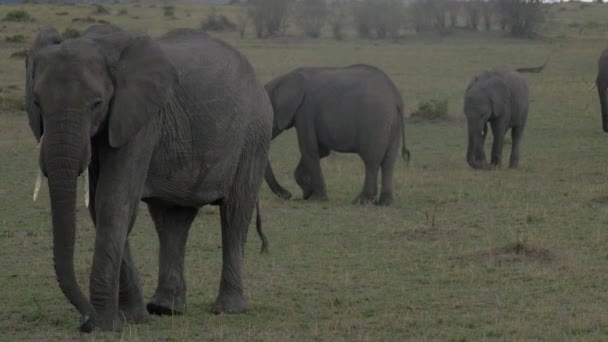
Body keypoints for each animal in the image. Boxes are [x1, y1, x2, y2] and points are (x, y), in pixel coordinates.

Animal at [26, 25, 272, 332]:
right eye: (37, 102)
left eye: (96, 104)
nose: (84, 322)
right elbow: (102, 206)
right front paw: (131, 319)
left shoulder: (140, 120)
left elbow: (114, 201)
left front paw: (107, 326)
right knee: (172, 220)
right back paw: (165, 308)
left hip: (254, 136)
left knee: (235, 214)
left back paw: (228, 310)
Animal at [264, 64, 410, 206]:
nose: (288, 195)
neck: (284, 79)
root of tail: (396, 98)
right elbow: (321, 151)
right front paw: (307, 193)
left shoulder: (305, 111)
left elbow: (309, 149)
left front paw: (316, 199)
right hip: (392, 125)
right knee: (389, 161)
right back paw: (385, 203)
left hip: (376, 122)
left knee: (371, 161)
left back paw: (361, 201)